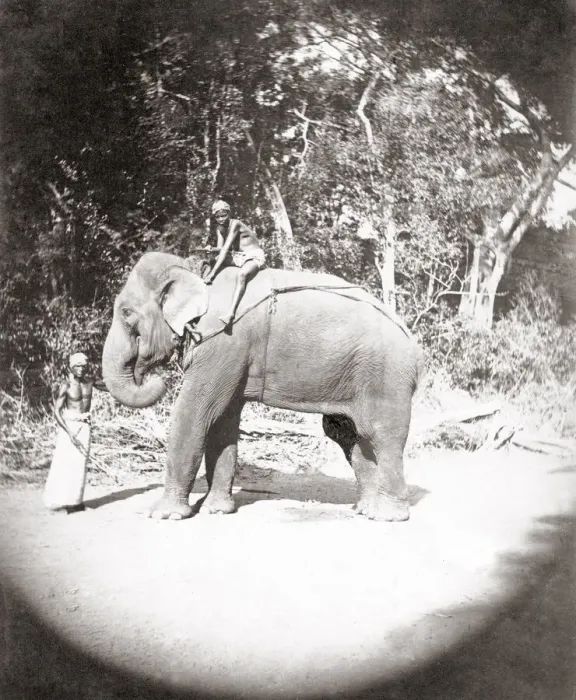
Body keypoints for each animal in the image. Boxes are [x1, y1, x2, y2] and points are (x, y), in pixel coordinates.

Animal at [102, 252, 423, 522]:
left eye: (126, 313)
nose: (155, 378)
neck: (197, 271)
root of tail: (411, 338)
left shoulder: (225, 341)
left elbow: (194, 412)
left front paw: (164, 515)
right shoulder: (231, 355)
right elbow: (223, 422)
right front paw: (217, 510)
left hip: (385, 374)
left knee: (382, 434)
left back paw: (388, 517)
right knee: (348, 434)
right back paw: (364, 510)